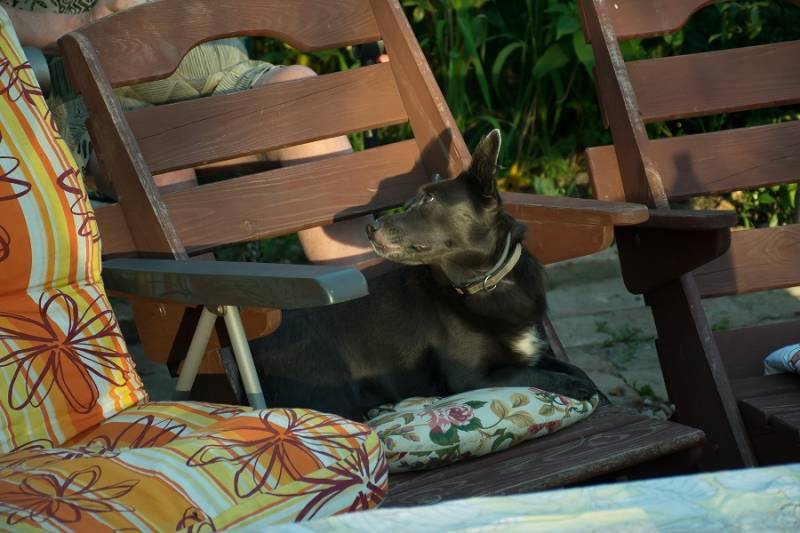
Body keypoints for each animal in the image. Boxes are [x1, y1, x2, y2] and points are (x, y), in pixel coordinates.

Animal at [250, 130, 601, 420]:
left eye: (428, 199)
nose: (370, 229)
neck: (489, 282)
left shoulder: (534, 353)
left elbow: (575, 368)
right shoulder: (473, 377)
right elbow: (534, 375)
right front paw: (576, 387)